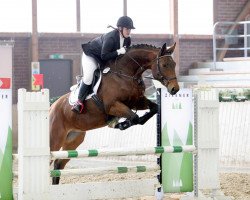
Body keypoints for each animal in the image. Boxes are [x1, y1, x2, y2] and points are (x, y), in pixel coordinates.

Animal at [50, 42, 180, 184]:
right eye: (164, 65)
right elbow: (134, 117)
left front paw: (123, 123)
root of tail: (52, 107)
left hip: (73, 139)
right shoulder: (113, 106)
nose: (175, 89)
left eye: (174, 64)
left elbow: (153, 109)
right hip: (55, 139)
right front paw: (120, 124)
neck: (125, 74)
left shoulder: (136, 102)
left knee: (58, 163)